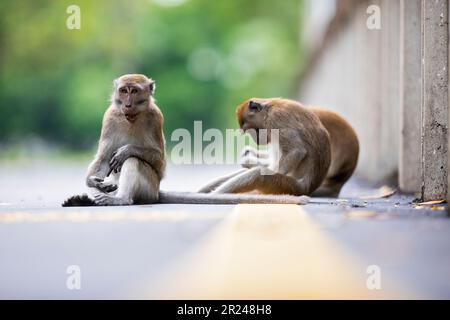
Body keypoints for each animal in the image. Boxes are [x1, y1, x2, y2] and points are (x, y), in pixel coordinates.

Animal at [63, 75, 310, 206]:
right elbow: (104, 156)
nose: (127, 104)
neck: (131, 118)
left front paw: (126, 150)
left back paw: (121, 198)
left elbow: (157, 161)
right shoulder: (110, 117)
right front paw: (92, 181)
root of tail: (156, 193)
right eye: (123, 91)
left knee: (134, 162)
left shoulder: (155, 117)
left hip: (148, 188)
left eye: (134, 91)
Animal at [199, 97, 360, 198]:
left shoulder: (276, 119)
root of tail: (307, 188)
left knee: (259, 175)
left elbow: (296, 151)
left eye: (250, 129)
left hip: (291, 187)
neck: (269, 107)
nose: (255, 138)